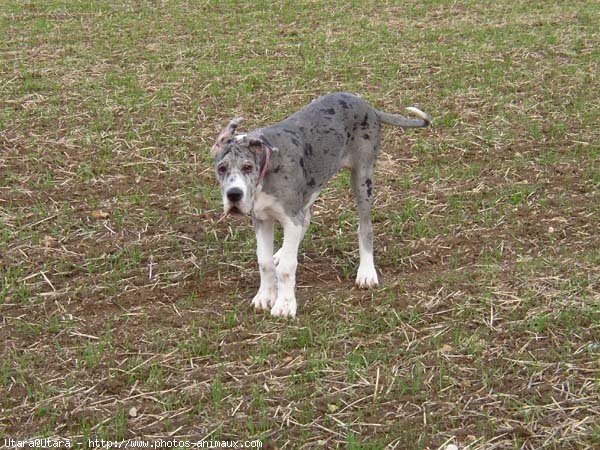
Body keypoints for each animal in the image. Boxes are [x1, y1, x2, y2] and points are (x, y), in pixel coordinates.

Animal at [212, 91, 432, 318]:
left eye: (247, 167)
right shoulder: (262, 218)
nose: (234, 194)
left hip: (362, 178)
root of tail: (369, 107)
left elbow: (286, 268)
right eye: (221, 168)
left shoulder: (290, 217)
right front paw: (265, 296)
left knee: (365, 227)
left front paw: (285, 304)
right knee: (306, 220)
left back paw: (366, 272)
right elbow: (264, 262)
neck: (266, 171)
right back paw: (281, 252)